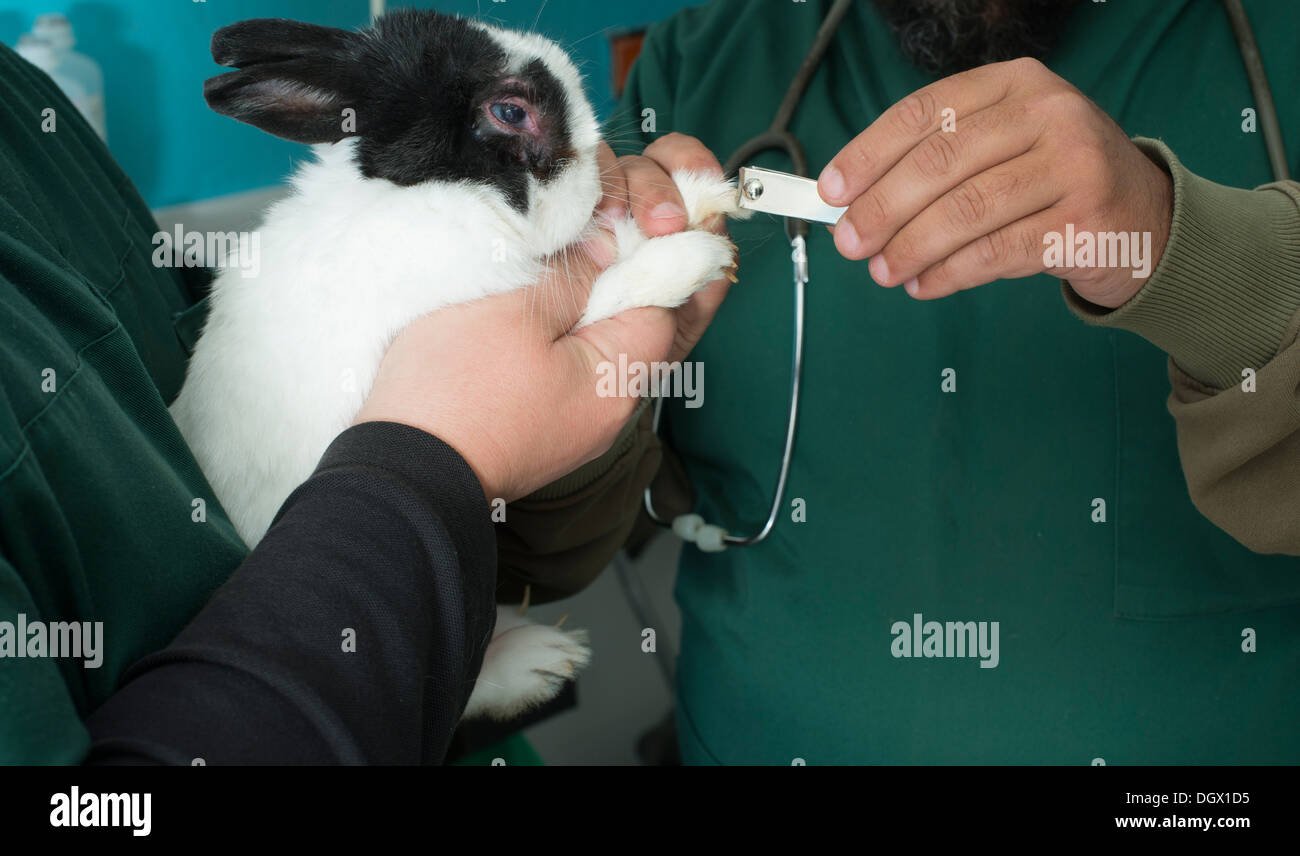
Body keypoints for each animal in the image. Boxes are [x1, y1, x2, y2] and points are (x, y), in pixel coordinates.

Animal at [171, 11, 743, 718]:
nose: (593, 161)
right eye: (510, 111)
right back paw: (539, 664)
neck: (439, 196)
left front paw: (703, 194)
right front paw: (690, 259)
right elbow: (610, 291)